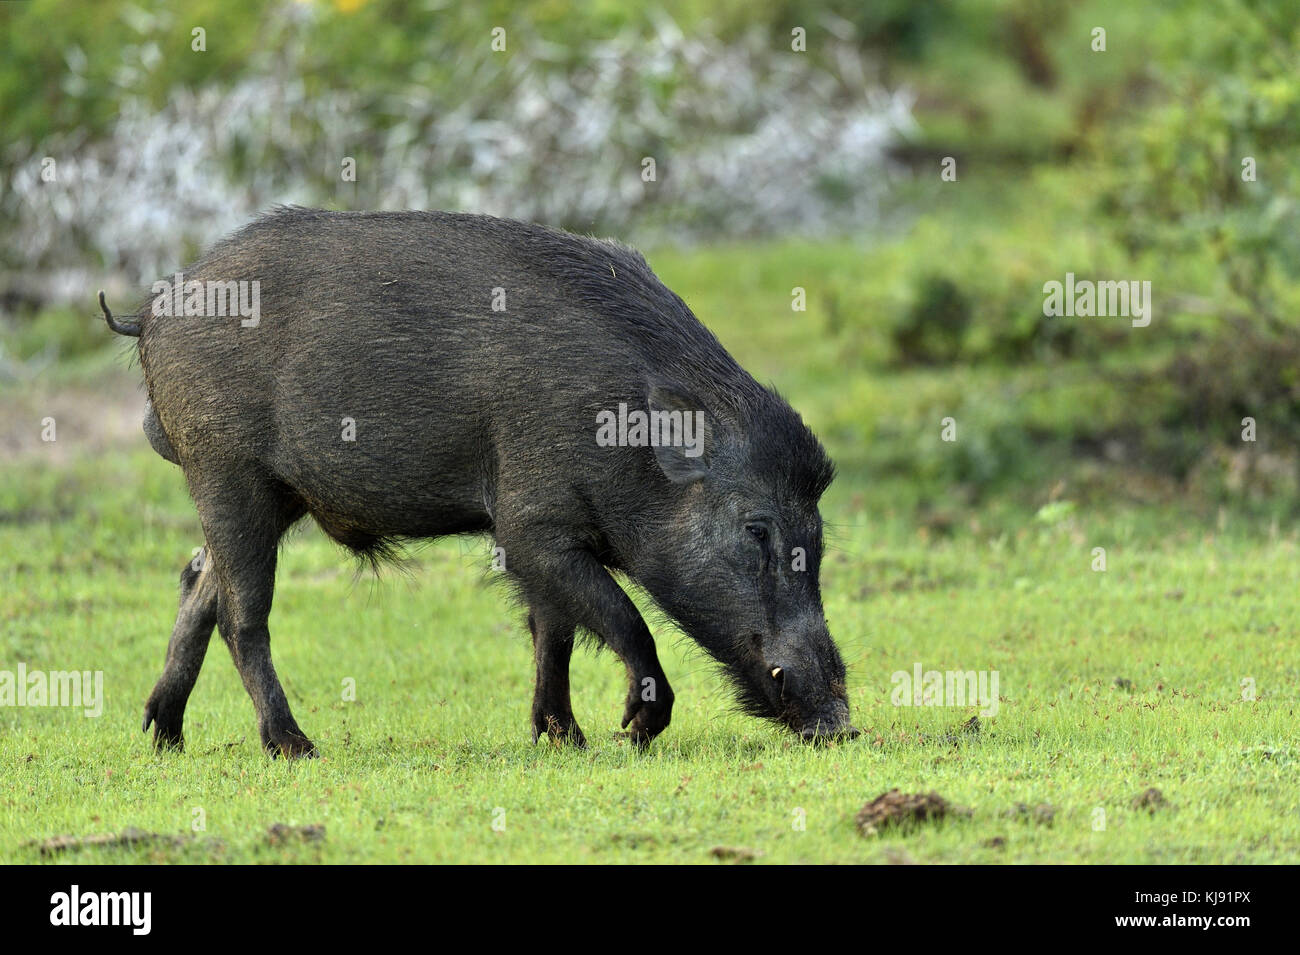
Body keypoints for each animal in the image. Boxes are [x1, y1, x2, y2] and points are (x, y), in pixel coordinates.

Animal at [101, 207, 856, 757]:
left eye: (818, 535)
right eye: (756, 528)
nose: (841, 725)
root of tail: (152, 312)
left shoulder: (538, 540)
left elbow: (553, 631)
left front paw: (564, 739)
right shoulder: (530, 525)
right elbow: (620, 616)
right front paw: (631, 732)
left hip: (268, 495)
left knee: (198, 581)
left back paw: (165, 737)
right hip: (227, 473)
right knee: (241, 613)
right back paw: (294, 747)